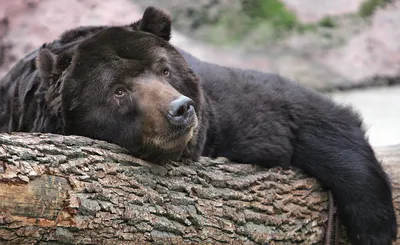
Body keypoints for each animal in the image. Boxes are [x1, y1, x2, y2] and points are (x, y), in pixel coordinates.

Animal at [0, 6, 396, 244]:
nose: (179, 109)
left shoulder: (223, 115)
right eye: (118, 91)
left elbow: (304, 116)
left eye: (164, 69)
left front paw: (375, 227)